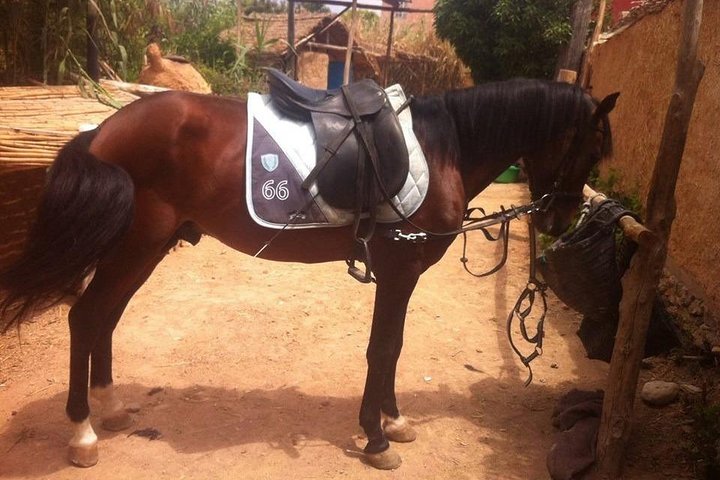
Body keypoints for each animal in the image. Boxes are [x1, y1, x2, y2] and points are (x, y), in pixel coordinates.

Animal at [0, 78, 618, 470]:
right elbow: (384, 348)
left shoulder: (403, 275)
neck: (445, 147)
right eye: (591, 150)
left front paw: (392, 422)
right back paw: (82, 432)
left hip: (144, 250)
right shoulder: (400, 270)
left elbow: (392, 347)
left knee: (104, 319)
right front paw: (376, 438)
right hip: (136, 246)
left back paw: (109, 410)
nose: (561, 220)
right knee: (85, 319)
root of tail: (102, 131)